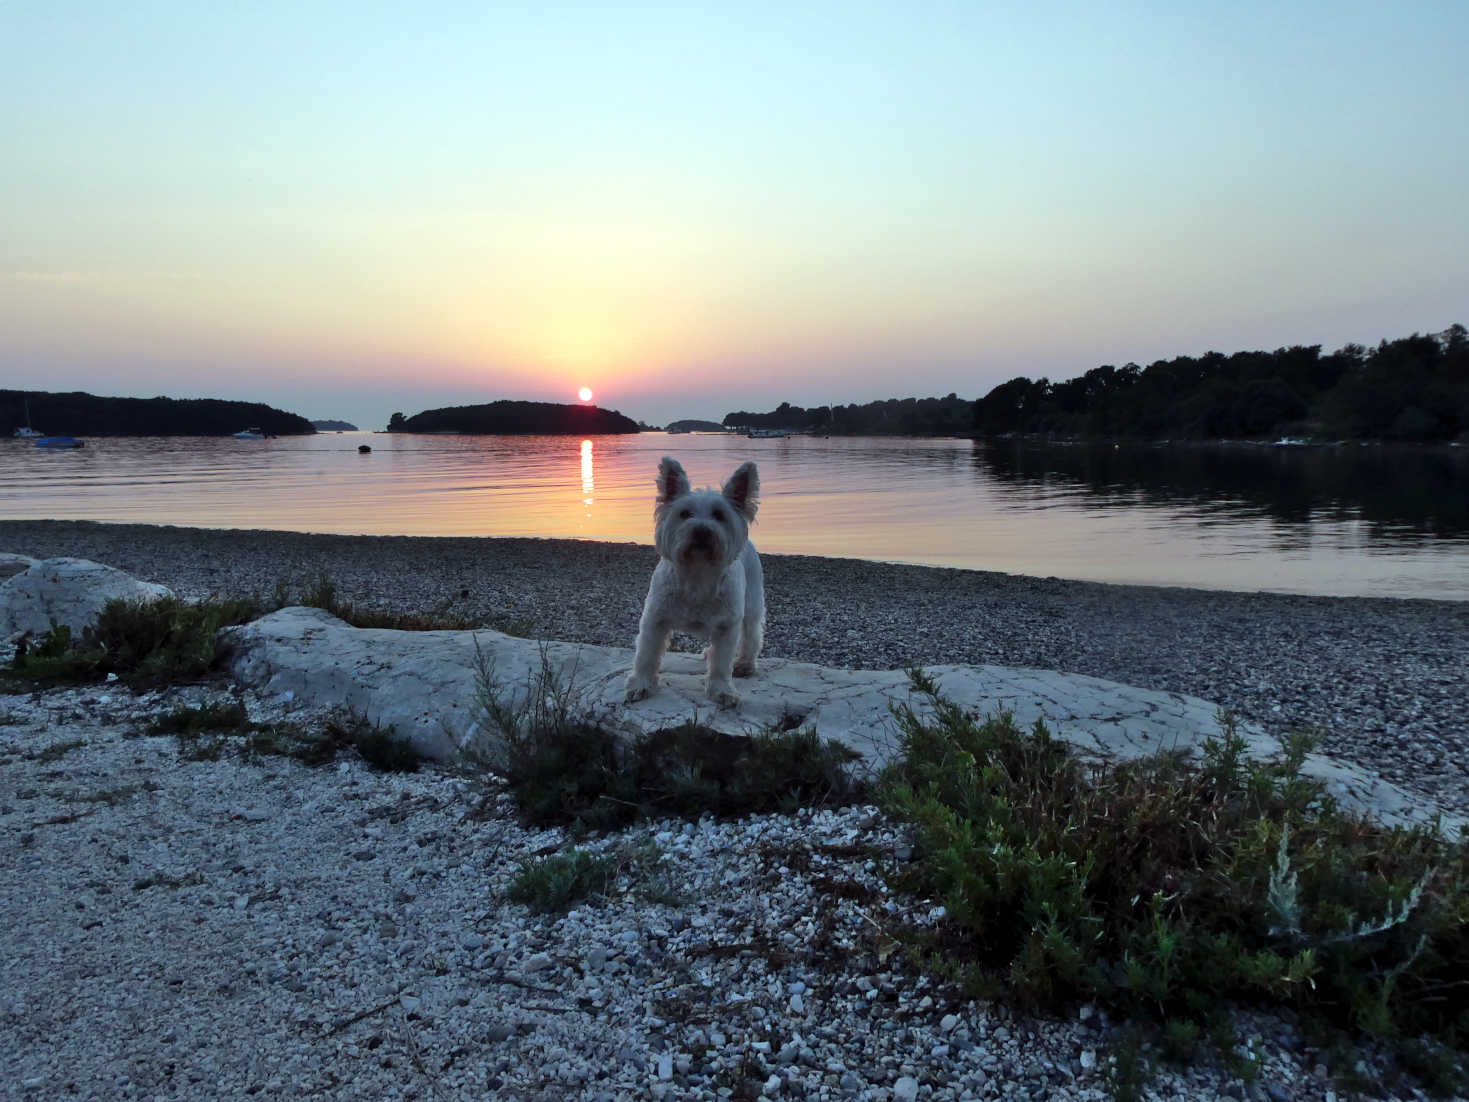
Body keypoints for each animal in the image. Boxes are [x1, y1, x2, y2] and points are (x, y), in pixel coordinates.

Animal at [622, 455, 769, 708]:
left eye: (719, 515)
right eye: (685, 514)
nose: (701, 531)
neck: (697, 574)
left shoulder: (726, 626)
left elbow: (721, 664)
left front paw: (721, 690)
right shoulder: (655, 620)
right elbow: (646, 655)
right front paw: (640, 685)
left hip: (751, 603)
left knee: (752, 634)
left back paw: (745, 664)